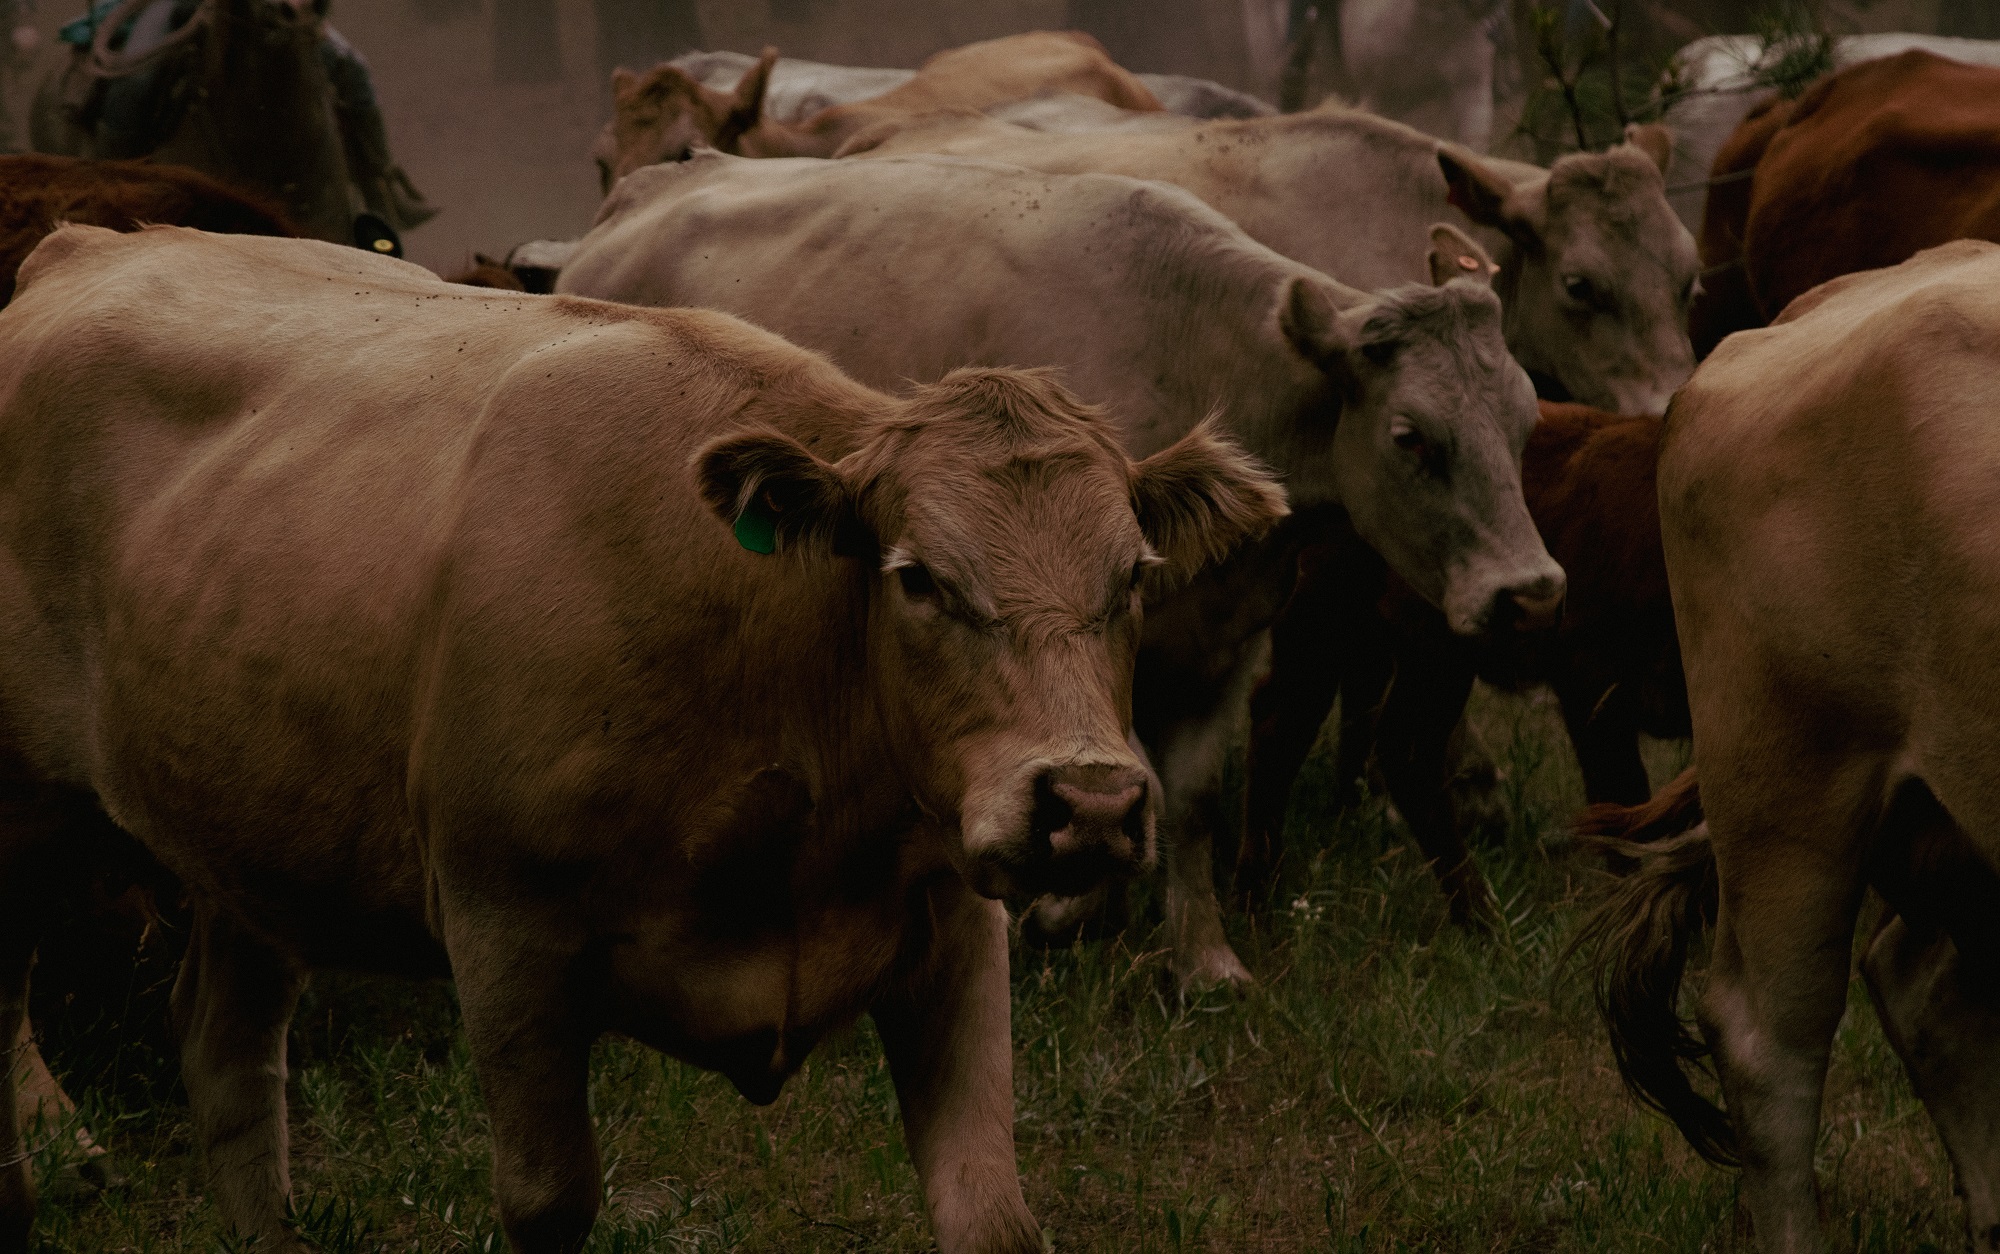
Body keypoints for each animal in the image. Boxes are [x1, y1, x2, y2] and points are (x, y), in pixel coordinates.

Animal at [0, 223, 1288, 1254]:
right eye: (917, 577)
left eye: (1135, 576)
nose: (1092, 802)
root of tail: (87, 241)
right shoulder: (505, 939)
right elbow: (548, 1199)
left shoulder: (953, 932)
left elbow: (990, 1211)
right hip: (27, 803)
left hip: (248, 839)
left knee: (227, 1060)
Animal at [556, 150, 1563, 985]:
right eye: (1410, 436)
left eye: (1526, 418)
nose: (1529, 592)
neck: (1195, 346)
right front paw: (1062, 912)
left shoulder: (1221, 650)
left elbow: (1185, 801)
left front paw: (1204, 961)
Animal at [1241, 401, 1683, 897]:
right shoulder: (1593, 686)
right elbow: (1625, 809)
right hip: (1336, 621)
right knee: (1290, 723)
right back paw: (1258, 888)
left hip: (1409, 650)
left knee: (1392, 743)